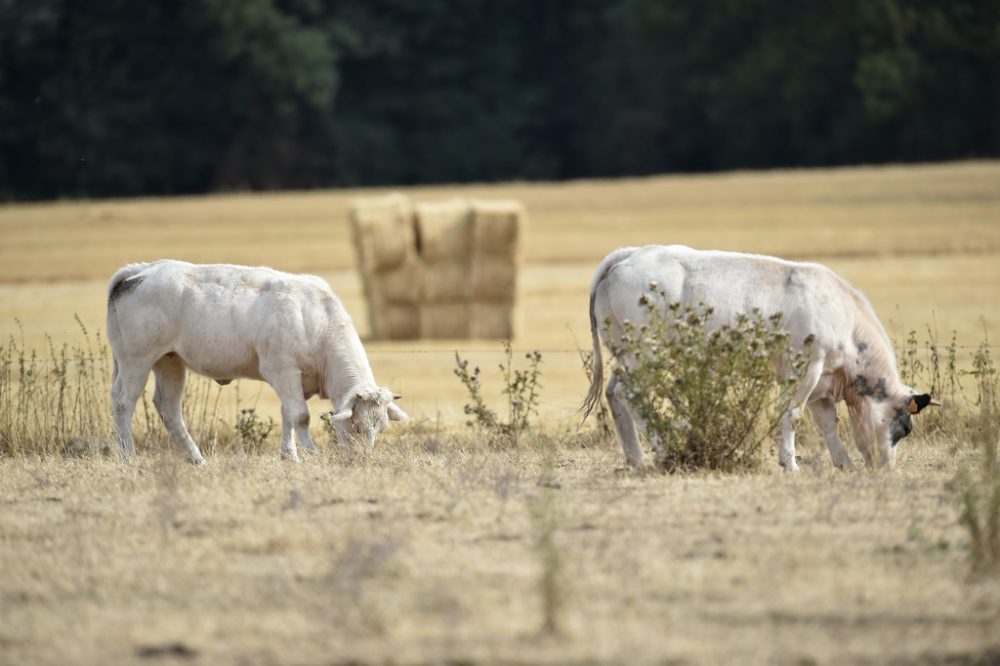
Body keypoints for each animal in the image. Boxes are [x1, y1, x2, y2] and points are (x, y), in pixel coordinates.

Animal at [105, 260, 406, 462]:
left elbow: (288, 415)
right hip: (136, 359)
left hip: (170, 362)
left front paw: (289, 456)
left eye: (380, 427)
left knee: (169, 408)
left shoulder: (294, 382)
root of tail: (140, 271)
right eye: (356, 425)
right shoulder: (282, 369)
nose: (363, 458)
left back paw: (196, 459)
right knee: (123, 402)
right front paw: (310, 452)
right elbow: (301, 416)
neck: (318, 321)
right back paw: (128, 455)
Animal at [584, 246, 940, 470]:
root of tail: (630, 255)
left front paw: (845, 464)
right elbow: (792, 415)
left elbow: (828, 426)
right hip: (645, 353)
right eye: (904, 429)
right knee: (632, 395)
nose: (886, 470)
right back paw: (660, 447)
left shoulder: (823, 385)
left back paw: (636, 459)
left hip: (627, 355)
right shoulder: (804, 369)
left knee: (614, 394)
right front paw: (790, 463)